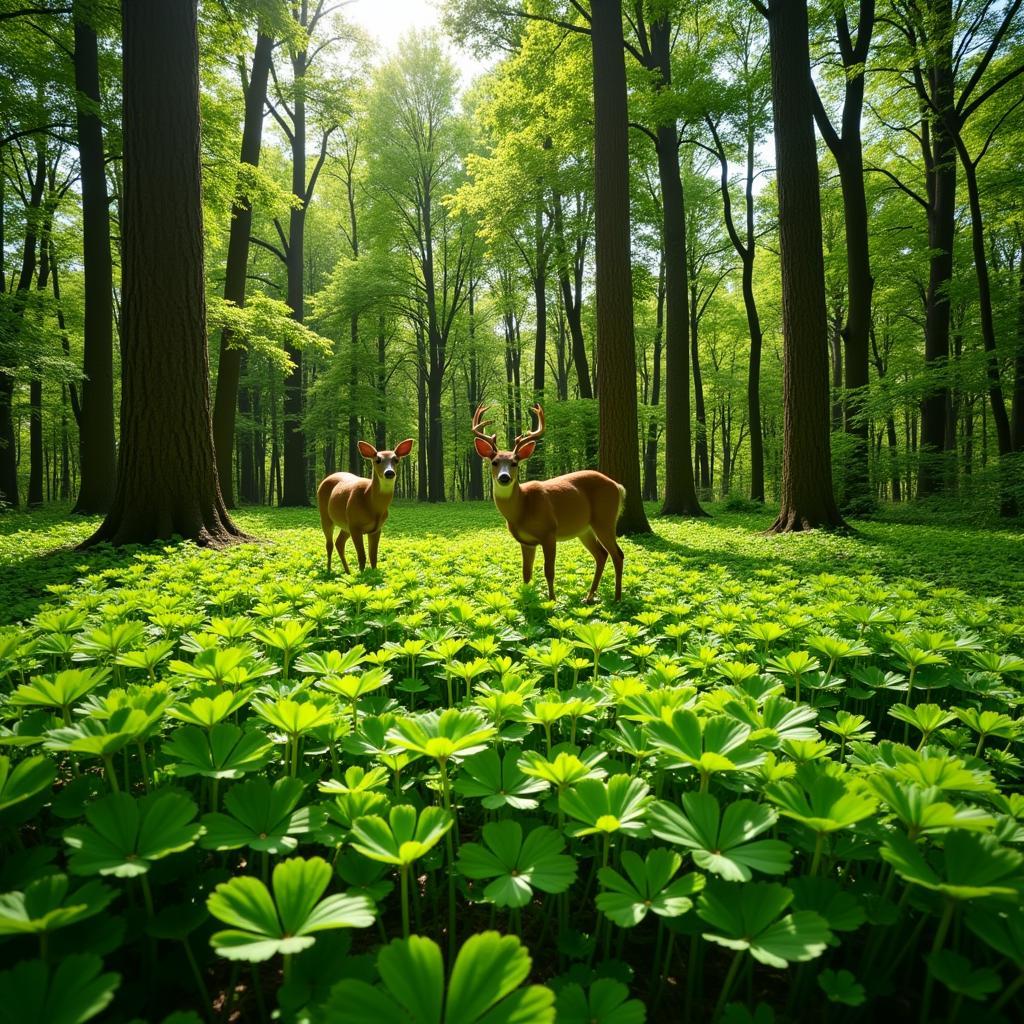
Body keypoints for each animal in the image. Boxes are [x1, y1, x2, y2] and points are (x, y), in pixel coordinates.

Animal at [319, 438, 415, 573]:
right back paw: (328, 571)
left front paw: (372, 574)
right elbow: (362, 556)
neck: (371, 505)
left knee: (339, 543)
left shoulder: (376, 529)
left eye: (396, 459)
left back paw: (347, 572)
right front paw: (362, 575)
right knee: (329, 544)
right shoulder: (355, 526)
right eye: (377, 459)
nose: (389, 472)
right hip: (325, 515)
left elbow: (373, 556)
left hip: (346, 525)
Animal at [468, 403, 622, 602]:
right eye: (494, 462)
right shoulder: (526, 541)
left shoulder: (549, 532)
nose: (504, 477)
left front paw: (552, 600)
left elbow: (549, 571)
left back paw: (617, 598)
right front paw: (527, 598)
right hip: (584, 529)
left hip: (605, 519)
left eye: (515, 463)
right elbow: (526, 573)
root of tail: (617, 486)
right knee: (601, 554)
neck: (522, 509)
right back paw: (588, 597)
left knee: (617, 554)